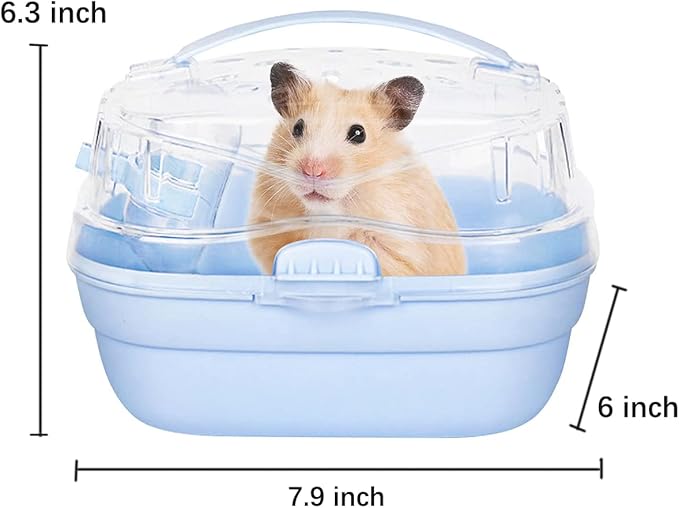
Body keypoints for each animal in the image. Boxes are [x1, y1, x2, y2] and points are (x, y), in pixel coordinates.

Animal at [248, 62, 467, 276]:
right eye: (297, 128)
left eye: (358, 133)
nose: (312, 171)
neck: (329, 211)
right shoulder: (267, 225)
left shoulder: (400, 250)